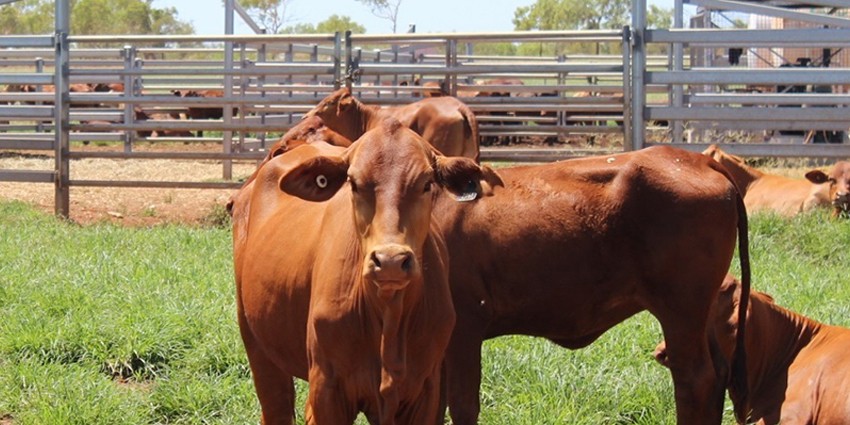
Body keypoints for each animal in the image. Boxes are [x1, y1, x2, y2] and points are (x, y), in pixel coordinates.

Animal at [232, 121, 499, 424]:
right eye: (354, 184)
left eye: (427, 183)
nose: (391, 260)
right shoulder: (328, 390)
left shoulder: (426, 393)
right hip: (257, 345)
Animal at [432, 145, 751, 424]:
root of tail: (696, 159)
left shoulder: (466, 324)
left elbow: (461, 405)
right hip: (701, 311)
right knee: (718, 373)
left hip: (681, 310)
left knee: (695, 379)